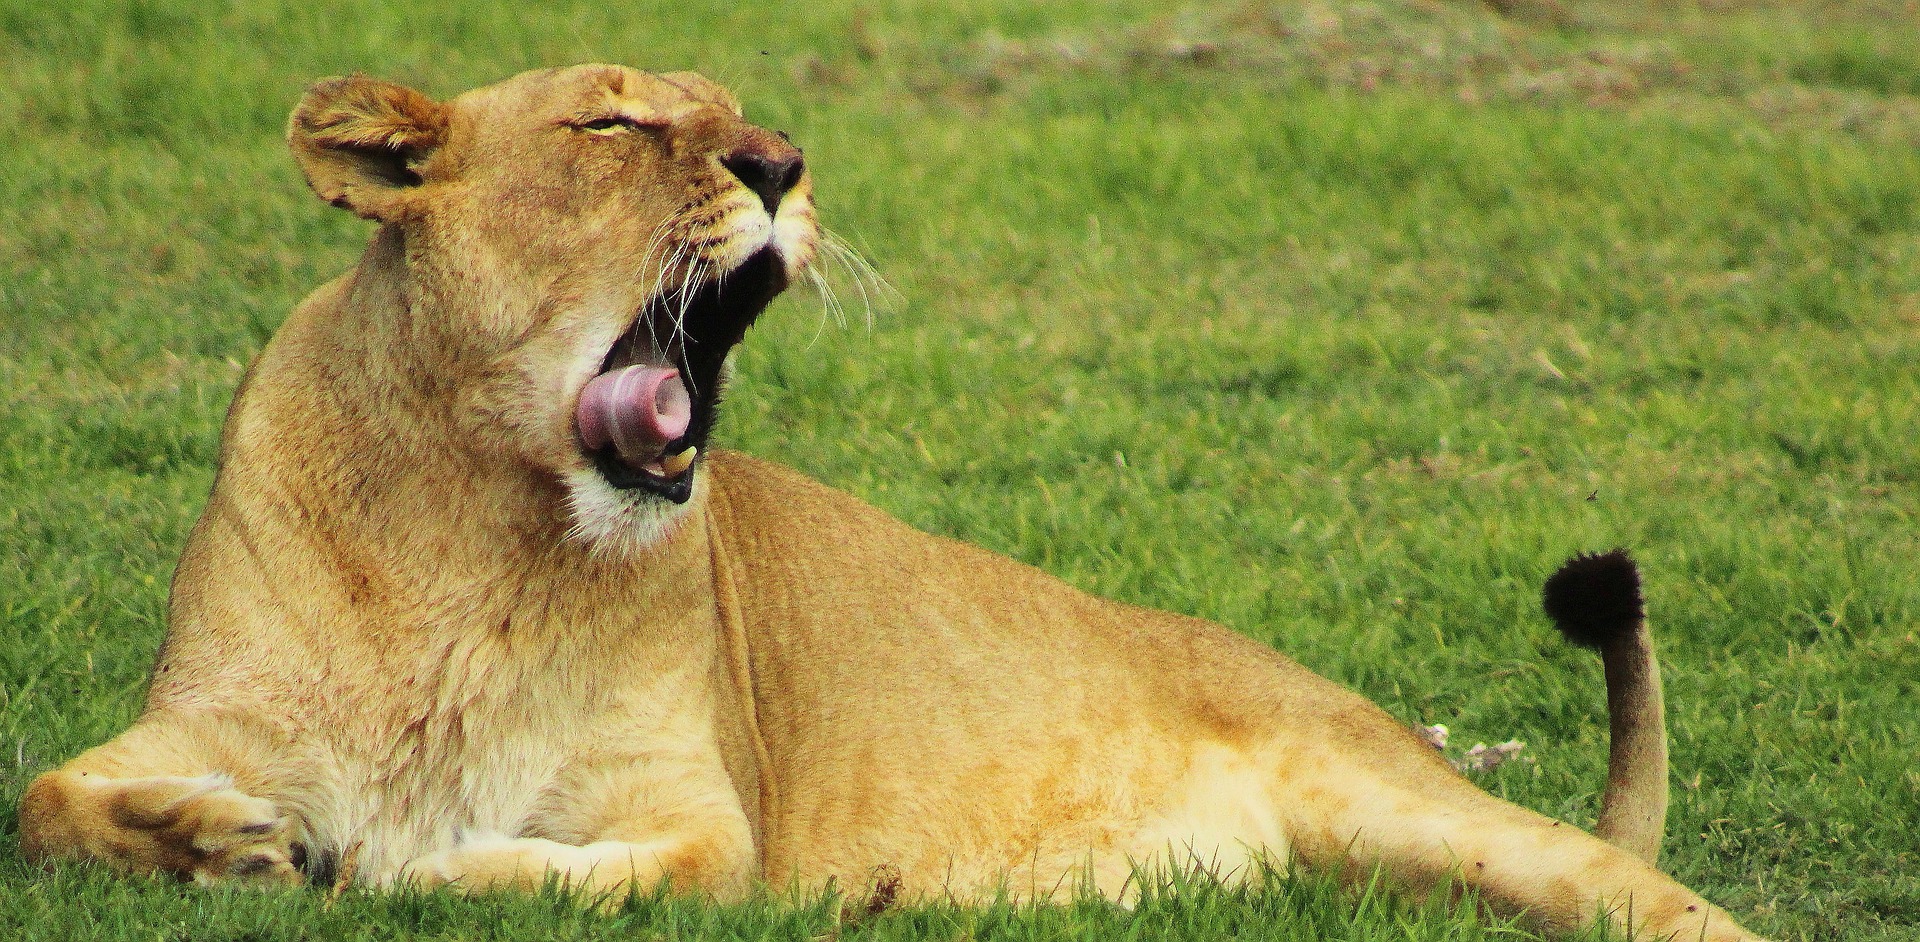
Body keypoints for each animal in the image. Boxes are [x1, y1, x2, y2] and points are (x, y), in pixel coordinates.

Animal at [17, 65, 1766, 940]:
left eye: (738, 110)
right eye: (612, 120)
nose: (782, 161)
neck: (472, 517)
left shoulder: (705, 823)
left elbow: (558, 868)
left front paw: (416, 863)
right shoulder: (186, 714)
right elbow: (43, 800)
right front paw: (230, 839)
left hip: (1432, 814)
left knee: (1656, 899)